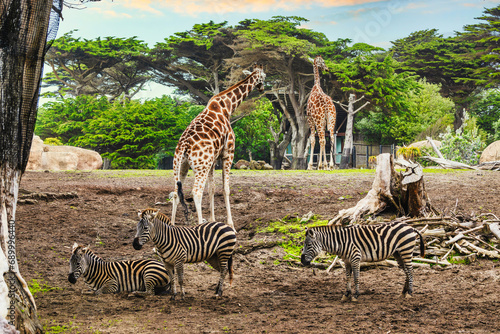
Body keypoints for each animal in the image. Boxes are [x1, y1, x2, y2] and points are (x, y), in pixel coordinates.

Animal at [170, 63, 268, 228]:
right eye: (264, 76)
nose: (262, 88)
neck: (227, 107)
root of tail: (183, 146)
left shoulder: (214, 159)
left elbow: (212, 188)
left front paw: (212, 220)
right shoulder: (228, 153)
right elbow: (225, 189)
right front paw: (231, 225)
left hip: (180, 165)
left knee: (176, 192)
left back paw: (170, 226)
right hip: (201, 166)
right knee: (196, 192)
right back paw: (199, 225)